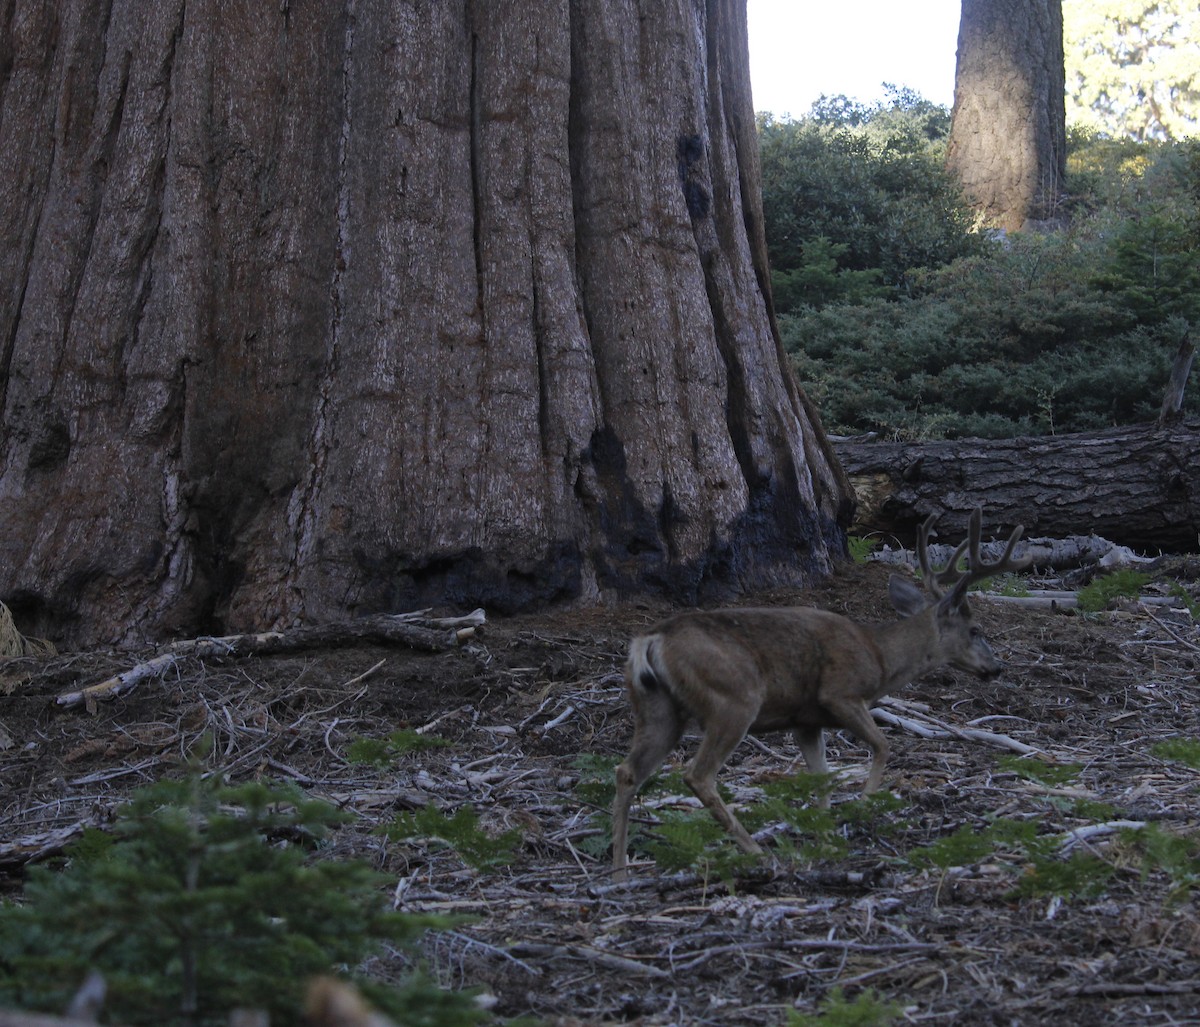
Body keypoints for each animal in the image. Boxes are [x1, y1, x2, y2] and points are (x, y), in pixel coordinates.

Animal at [611, 507, 1031, 879]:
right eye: (975, 629)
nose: (996, 667)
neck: (880, 657)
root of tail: (651, 639)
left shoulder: (806, 722)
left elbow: (822, 777)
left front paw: (827, 836)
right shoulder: (839, 693)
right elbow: (883, 746)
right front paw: (861, 806)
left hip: (658, 707)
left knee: (627, 771)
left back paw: (620, 870)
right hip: (734, 698)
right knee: (697, 774)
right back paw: (756, 851)